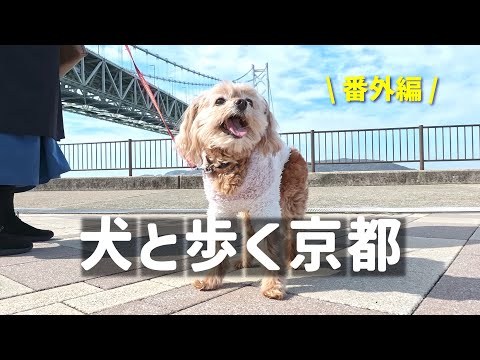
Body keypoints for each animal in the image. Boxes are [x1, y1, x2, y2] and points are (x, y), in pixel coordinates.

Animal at [175, 80, 308, 300]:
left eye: (249, 101)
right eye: (220, 100)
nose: (241, 103)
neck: (232, 161)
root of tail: (292, 149)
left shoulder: (266, 207)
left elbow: (271, 247)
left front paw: (273, 286)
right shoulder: (219, 209)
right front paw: (210, 281)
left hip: (291, 200)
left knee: (292, 232)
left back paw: (294, 260)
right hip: (248, 211)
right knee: (248, 234)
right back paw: (245, 261)